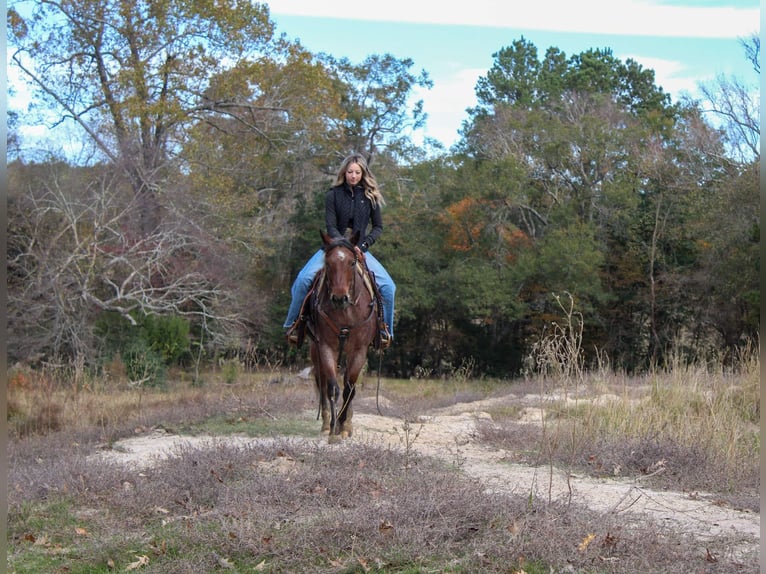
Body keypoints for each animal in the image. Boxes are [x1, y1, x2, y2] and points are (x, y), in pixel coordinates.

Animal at [308, 229, 379, 440]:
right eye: (328, 263)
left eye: (352, 263)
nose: (340, 298)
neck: (346, 313)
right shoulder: (325, 347)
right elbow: (333, 387)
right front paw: (332, 428)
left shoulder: (359, 351)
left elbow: (349, 389)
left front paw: (344, 426)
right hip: (315, 351)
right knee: (321, 383)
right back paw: (325, 424)